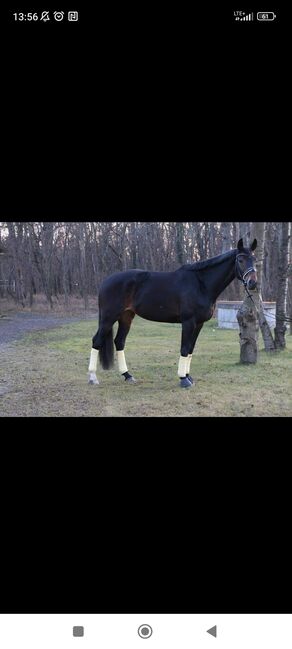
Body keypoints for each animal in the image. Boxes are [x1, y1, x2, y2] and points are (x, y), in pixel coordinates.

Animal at [88, 239, 256, 388]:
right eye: (240, 260)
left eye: (254, 260)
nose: (253, 283)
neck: (201, 284)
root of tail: (106, 281)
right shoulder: (188, 322)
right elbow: (184, 348)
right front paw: (183, 379)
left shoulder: (199, 324)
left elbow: (190, 349)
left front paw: (189, 377)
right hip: (109, 317)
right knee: (97, 341)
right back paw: (93, 378)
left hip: (126, 317)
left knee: (119, 342)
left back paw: (128, 375)